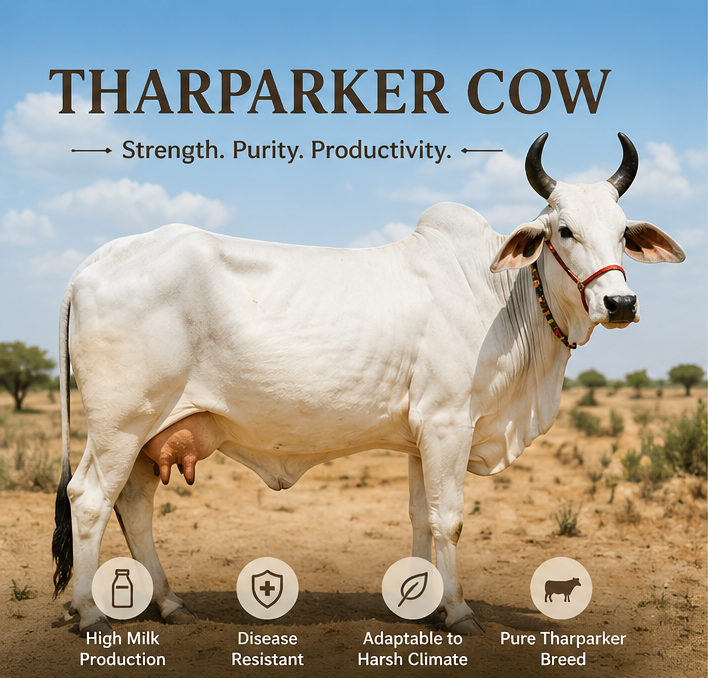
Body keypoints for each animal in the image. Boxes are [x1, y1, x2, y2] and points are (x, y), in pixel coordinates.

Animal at [52, 133, 685, 636]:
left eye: (623, 233)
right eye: (565, 230)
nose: (620, 303)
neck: (498, 297)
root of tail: (92, 263)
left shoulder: (420, 439)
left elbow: (421, 518)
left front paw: (422, 603)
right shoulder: (447, 426)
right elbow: (449, 518)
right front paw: (459, 612)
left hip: (145, 433)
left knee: (133, 507)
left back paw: (168, 603)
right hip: (120, 426)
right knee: (89, 501)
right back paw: (93, 614)